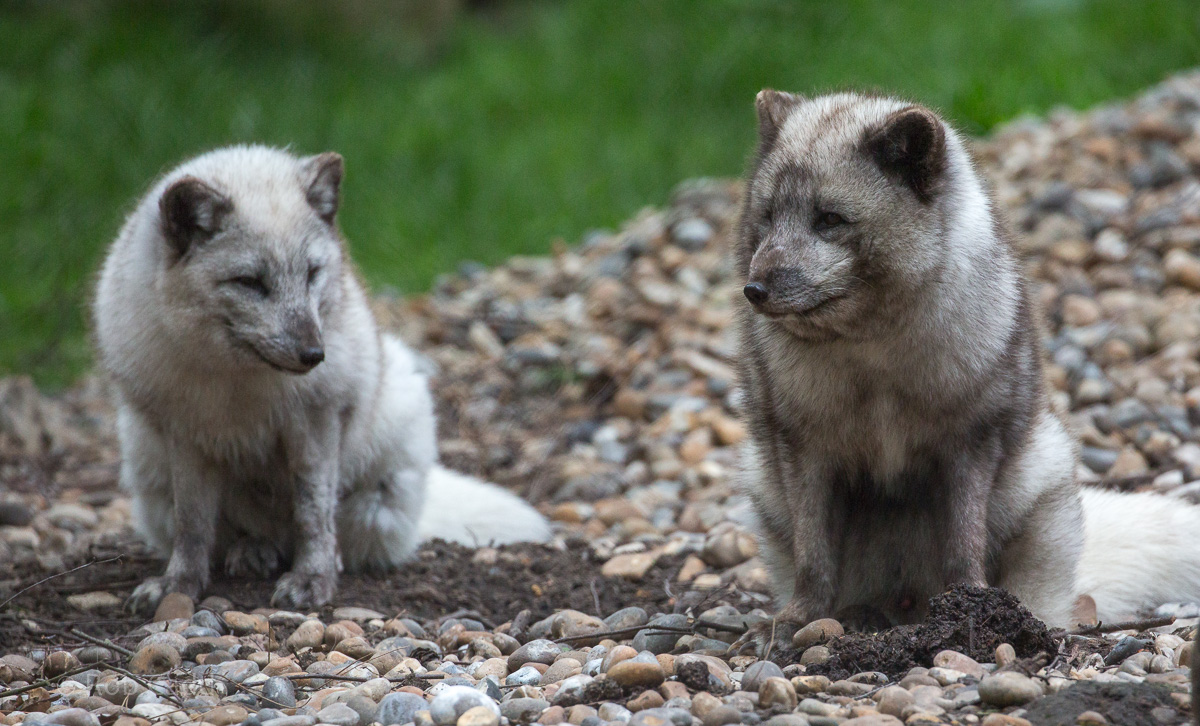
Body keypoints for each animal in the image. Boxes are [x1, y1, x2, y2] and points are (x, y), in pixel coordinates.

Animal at [94, 145, 551, 612]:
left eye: (312, 273)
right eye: (249, 282)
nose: (314, 355)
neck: (239, 385)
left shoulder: (315, 420)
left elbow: (312, 512)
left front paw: (313, 579)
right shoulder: (187, 433)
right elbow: (193, 525)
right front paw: (178, 585)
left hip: (379, 485)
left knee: (332, 533)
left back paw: (324, 558)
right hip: (147, 470)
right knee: (240, 533)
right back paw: (253, 550)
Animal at [731, 90, 1200, 652]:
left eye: (829, 220)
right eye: (767, 218)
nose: (754, 291)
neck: (873, 353)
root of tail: (908, 605)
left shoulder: (970, 443)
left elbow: (964, 543)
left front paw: (972, 607)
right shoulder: (805, 452)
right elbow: (814, 555)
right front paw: (798, 618)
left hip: (1043, 477)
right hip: (763, 482)